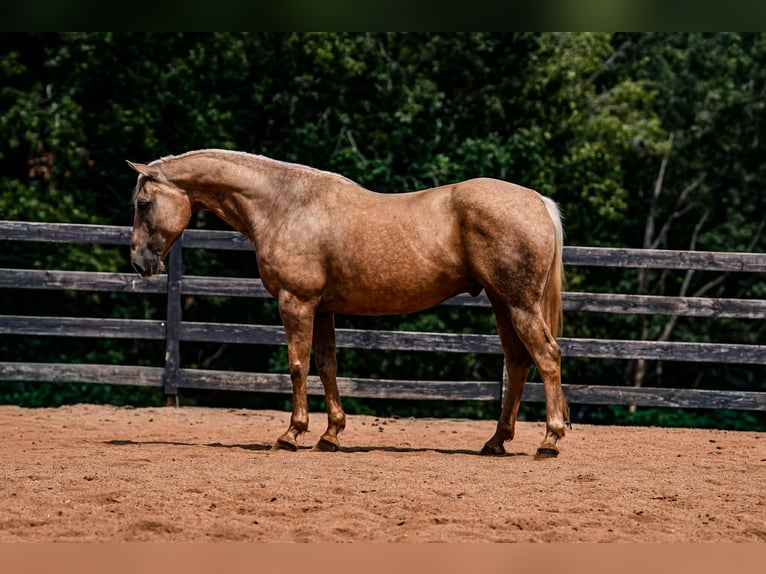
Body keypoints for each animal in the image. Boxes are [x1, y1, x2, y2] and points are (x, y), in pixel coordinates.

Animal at [127, 149, 570, 457]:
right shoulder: (322, 309)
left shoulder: (296, 303)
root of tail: (537, 201)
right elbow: (326, 366)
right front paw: (330, 434)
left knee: (547, 356)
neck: (284, 204)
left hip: (518, 304)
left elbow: (297, 366)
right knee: (518, 362)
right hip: (502, 304)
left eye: (142, 204)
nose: (139, 262)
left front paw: (292, 433)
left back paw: (550, 439)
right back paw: (497, 441)